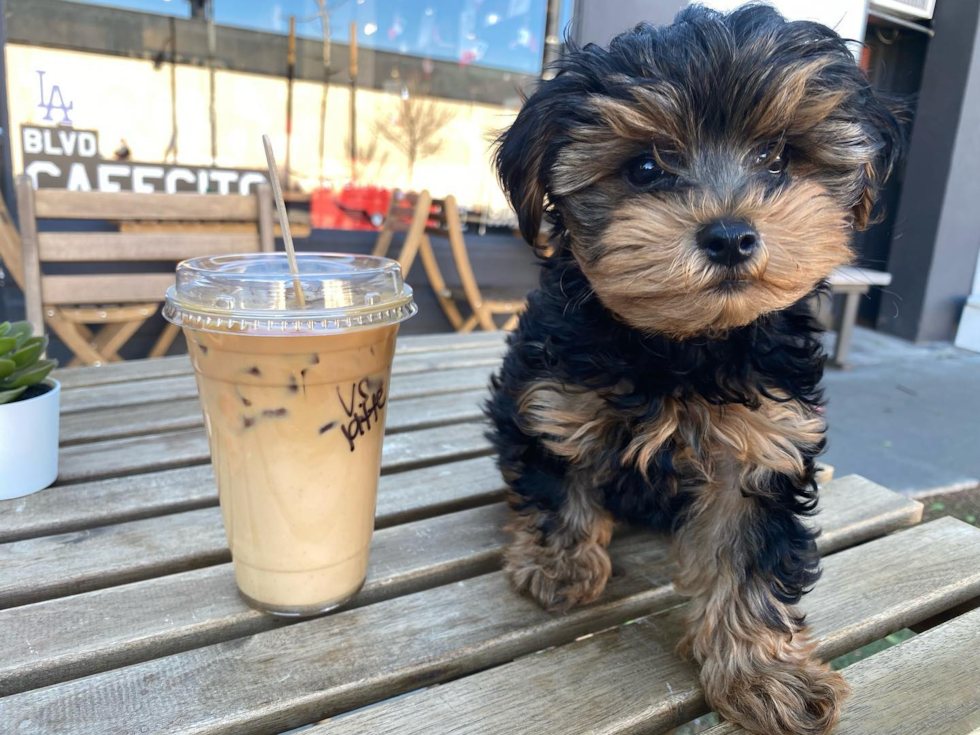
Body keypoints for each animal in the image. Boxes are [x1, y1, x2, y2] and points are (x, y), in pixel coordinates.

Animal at [486, 5, 900, 735]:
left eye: (776, 156)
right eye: (645, 167)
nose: (730, 235)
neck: (686, 344)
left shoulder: (766, 441)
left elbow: (749, 557)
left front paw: (765, 673)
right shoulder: (553, 395)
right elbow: (558, 474)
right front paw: (560, 562)